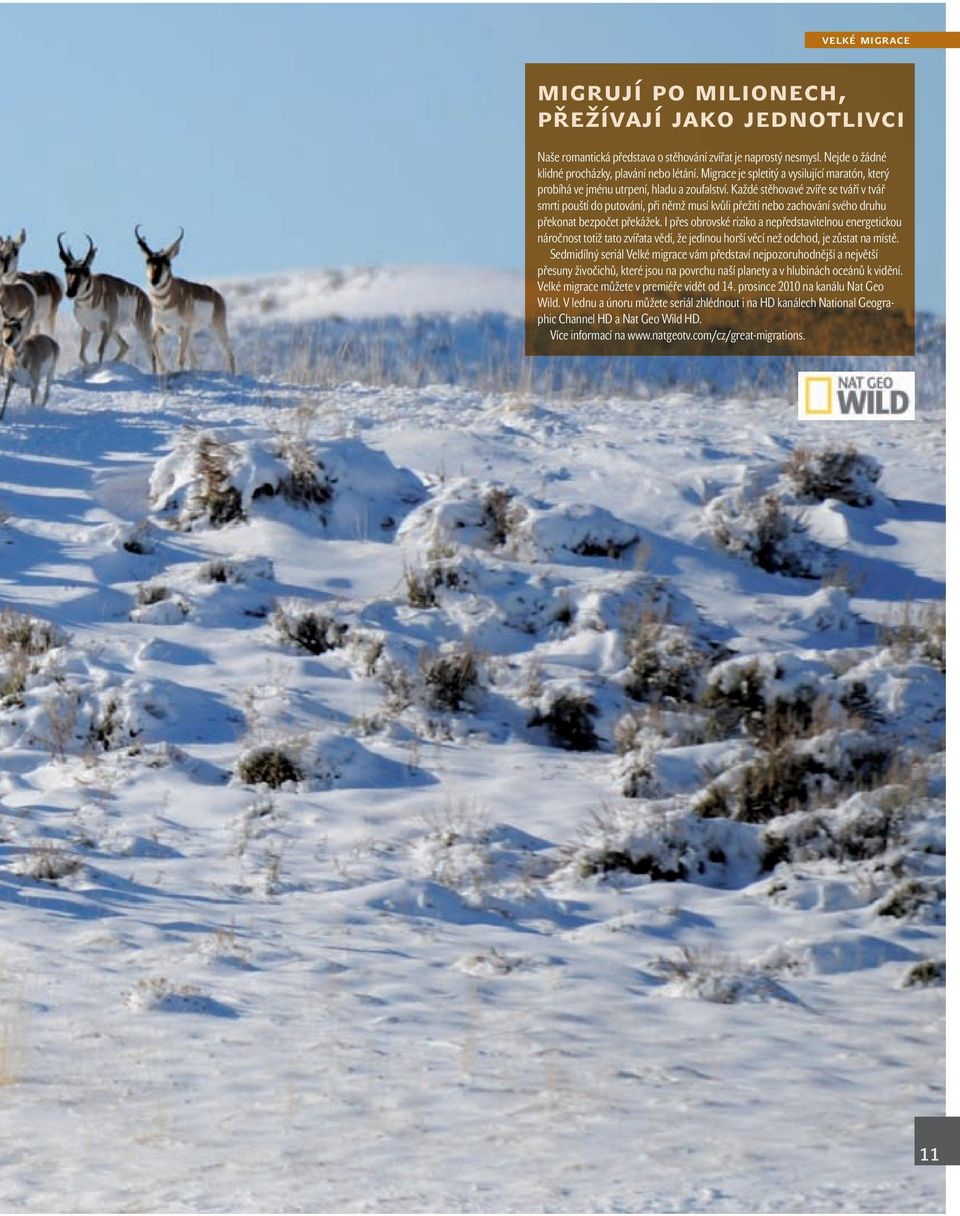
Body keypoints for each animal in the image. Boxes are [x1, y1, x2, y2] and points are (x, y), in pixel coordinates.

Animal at [56, 232, 153, 369]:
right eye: (66, 270)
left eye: (86, 271)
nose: (70, 292)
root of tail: (144, 296)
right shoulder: (87, 329)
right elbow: (81, 354)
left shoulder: (107, 326)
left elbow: (100, 349)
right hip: (115, 330)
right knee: (125, 346)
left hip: (139, 327)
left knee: (151, 353)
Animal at [135, 226, 236, 372]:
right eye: (148, 262)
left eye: (167, 263)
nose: (154, 281)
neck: (165, 304)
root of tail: (216, 295)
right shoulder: (162, 329)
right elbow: (153, 342)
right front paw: (163, 369)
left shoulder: (184, 329)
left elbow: (180, 359)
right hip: (189, 335)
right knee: (195, 360)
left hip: (216, 328)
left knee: (229, 354)